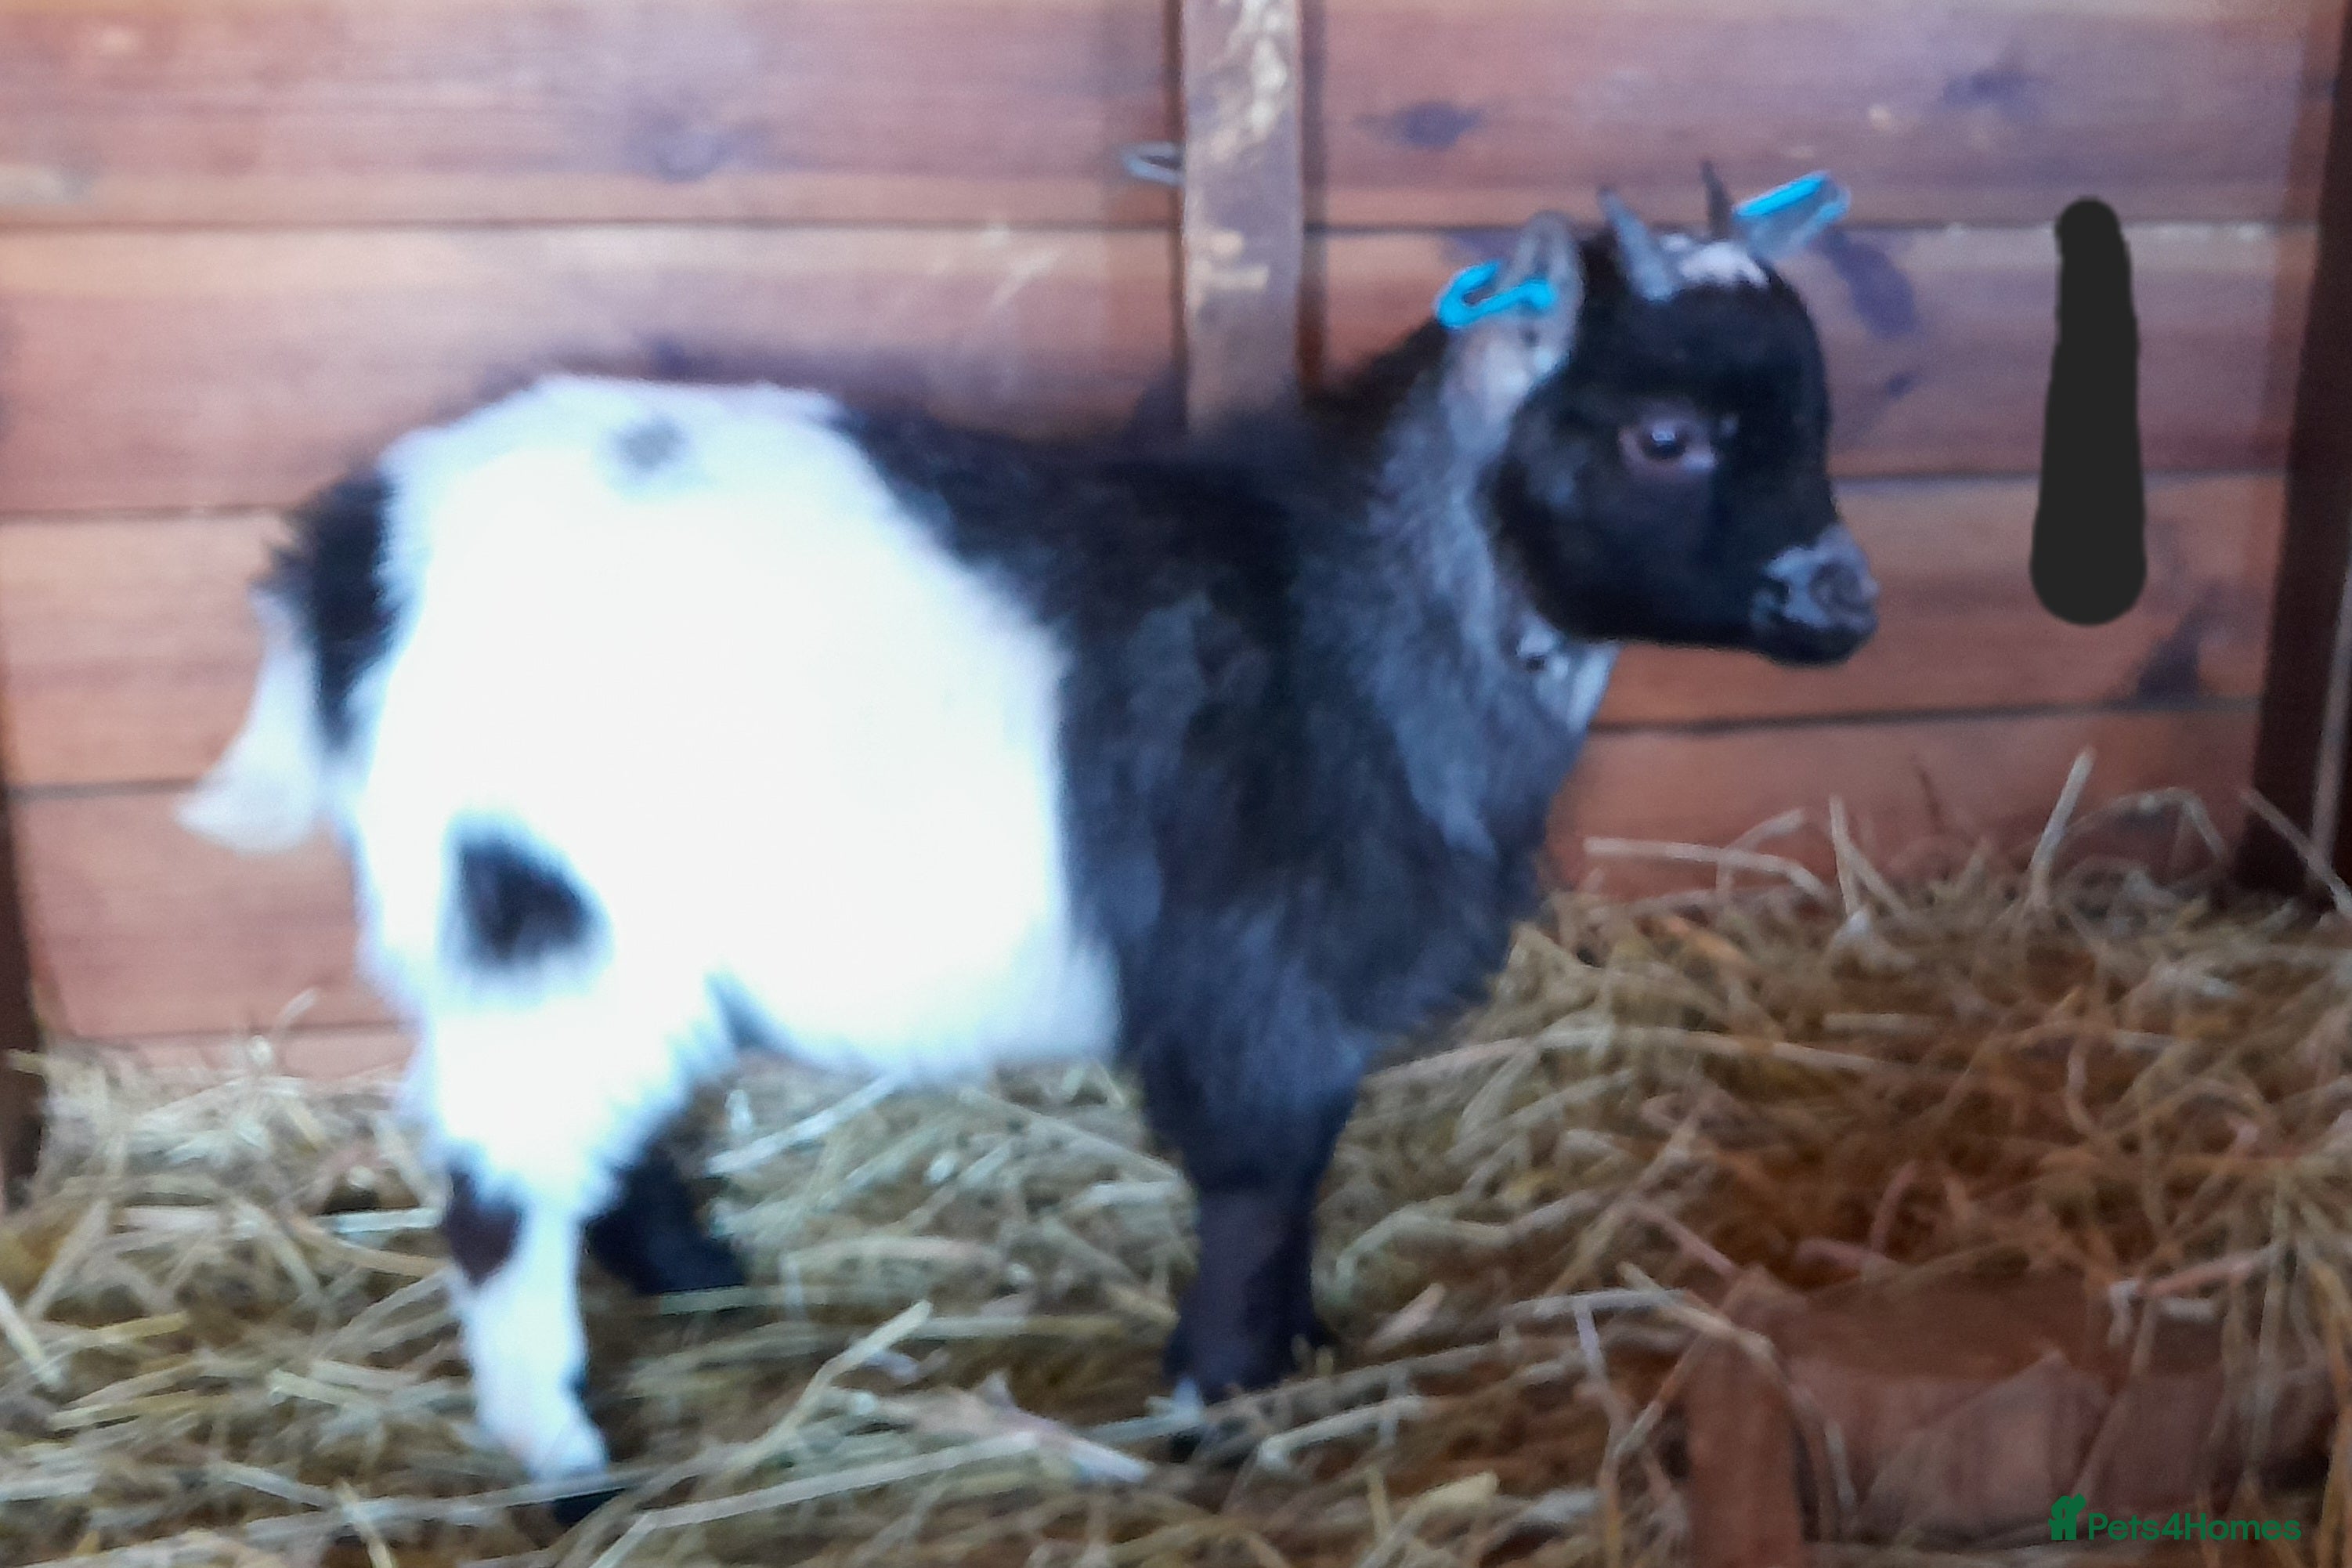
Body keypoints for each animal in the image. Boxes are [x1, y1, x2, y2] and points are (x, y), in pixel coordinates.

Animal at [181, 171, 1876, 1488]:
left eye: (1810, 413)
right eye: (1663, 434)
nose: (1843, 602)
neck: (1355, 613)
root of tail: (355, 559)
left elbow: (1300, 1182)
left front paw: (1298, 1347)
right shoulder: (1257, 985)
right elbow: (1257, 1185)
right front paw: (1216, 1404)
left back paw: (697, 1278)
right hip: (541, 898)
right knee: (502, 1181)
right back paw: (561, 1451)